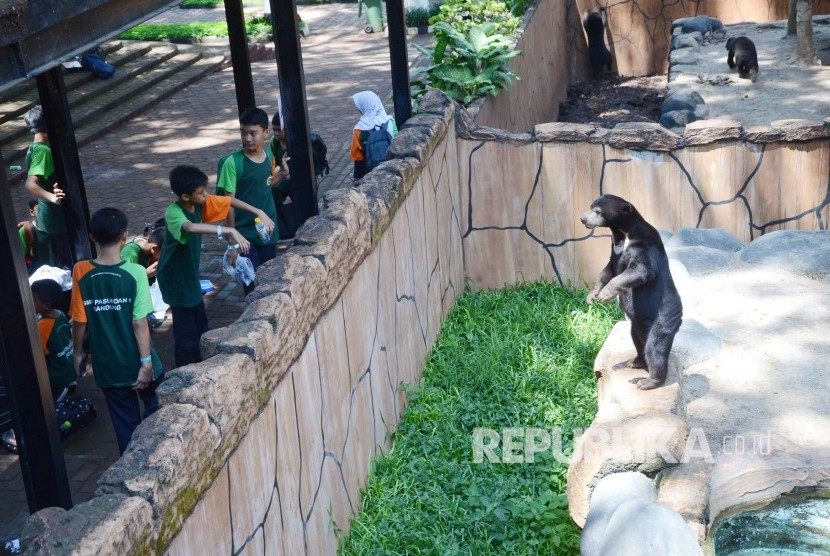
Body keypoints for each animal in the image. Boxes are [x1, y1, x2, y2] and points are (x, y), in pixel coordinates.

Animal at [580, 195, 684, 390]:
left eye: (597, 211)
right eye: (590, 206)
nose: (582, 218)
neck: (622, 234)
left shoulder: (643, 246)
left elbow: (641, 271)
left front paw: (605, 295)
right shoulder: (614, 251)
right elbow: (607, 271)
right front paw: (592, 296)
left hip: (664, 318)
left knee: (655, 348)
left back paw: (647, 381)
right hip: (638, 323)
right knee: (638, 339)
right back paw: (634, 362)